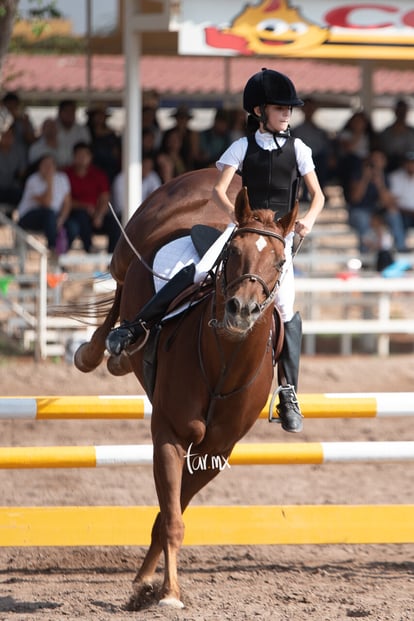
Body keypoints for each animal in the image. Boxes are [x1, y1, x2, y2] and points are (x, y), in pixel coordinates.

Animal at [72, 167, 298, 608]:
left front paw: (146, 583)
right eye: (232, 252)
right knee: (120, 291)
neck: (223, 363)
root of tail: (212, 174)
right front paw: (169, 593)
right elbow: (173, 519)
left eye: (280, 261)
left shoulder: (215, 451)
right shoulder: (170, 435)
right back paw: (101, 350)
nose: (241, 310)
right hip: (126, 251)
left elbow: (169, 514)